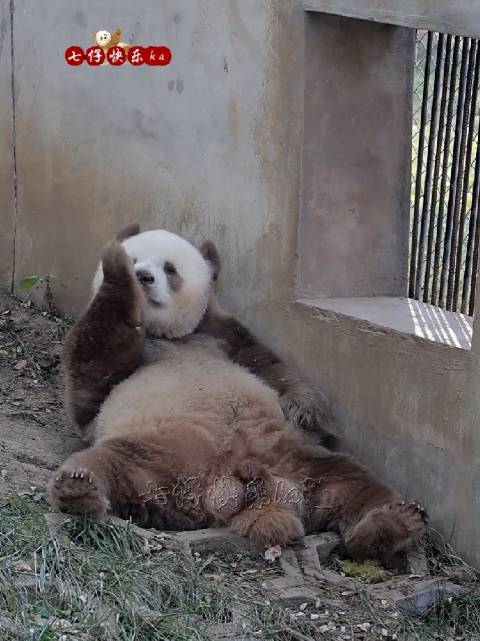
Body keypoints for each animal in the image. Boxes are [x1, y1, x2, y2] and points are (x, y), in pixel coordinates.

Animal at [49, 226, 427, 562]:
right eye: (136, 257)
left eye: (170, 268)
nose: (142, 276)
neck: (170, 335)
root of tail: (234, 486)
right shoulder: (112, 370)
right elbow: (93, 366)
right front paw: (115, 266)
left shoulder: (225, 335)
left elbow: (273, 368)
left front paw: (304, 411)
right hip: (159, 461)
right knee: (110, 464)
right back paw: (79, 488)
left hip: (291, 456)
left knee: (352, 482)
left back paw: (393, 522)